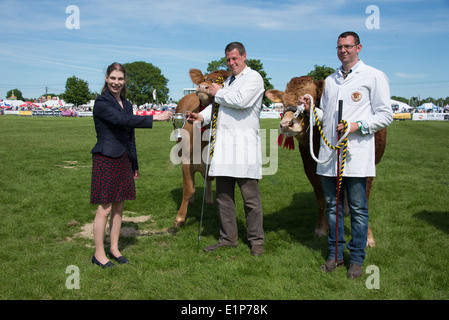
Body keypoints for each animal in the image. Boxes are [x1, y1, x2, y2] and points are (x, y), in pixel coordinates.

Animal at [172, 68, 231, 226]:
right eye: (205, 78)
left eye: (224, 80)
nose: (203, 87)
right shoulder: (186, 160)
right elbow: (188, 188)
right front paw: (180, 217)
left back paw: (209, 200)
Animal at [266, 76, 384, 246]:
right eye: (283, 101)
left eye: (310, 101)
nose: (286, 124)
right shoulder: (310, 169)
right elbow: (323, 201)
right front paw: (322, 228)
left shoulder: (367, 171)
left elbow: (364, 202)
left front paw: (368, 237)